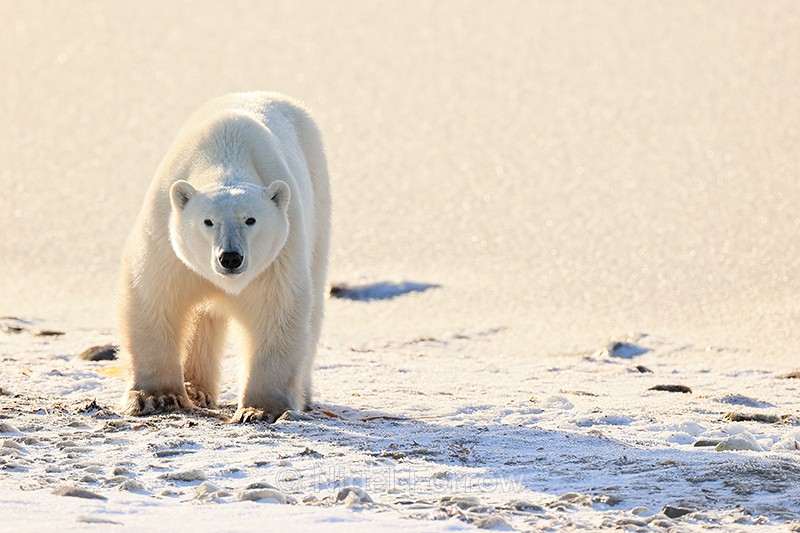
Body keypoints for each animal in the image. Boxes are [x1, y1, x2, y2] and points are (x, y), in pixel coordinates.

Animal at [117, 91, 330, 423]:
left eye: (250, 220)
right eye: (208, 221)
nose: (230, 257)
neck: (225, 151)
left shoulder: (279, 254)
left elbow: (277, 309)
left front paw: (260, 409)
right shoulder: (165, 239)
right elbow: (156, 297)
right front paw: (157, 397)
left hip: (318, 203)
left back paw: (303, 395)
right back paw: (195, 389)